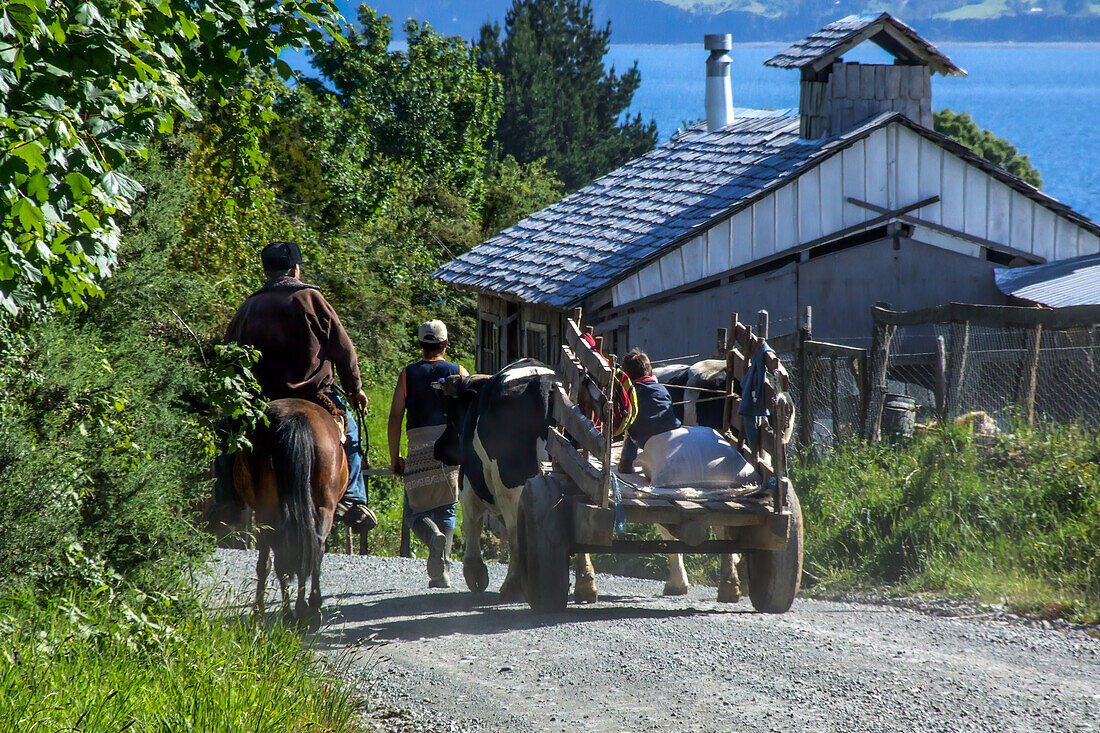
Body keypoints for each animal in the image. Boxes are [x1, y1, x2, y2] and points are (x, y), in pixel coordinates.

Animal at [234, 396, 345, 620]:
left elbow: (265, 564)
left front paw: (258, 610)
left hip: (270, 512)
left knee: (287, 556)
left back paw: (293, 612)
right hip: (323, 506)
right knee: (312, 549)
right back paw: (308, 609)